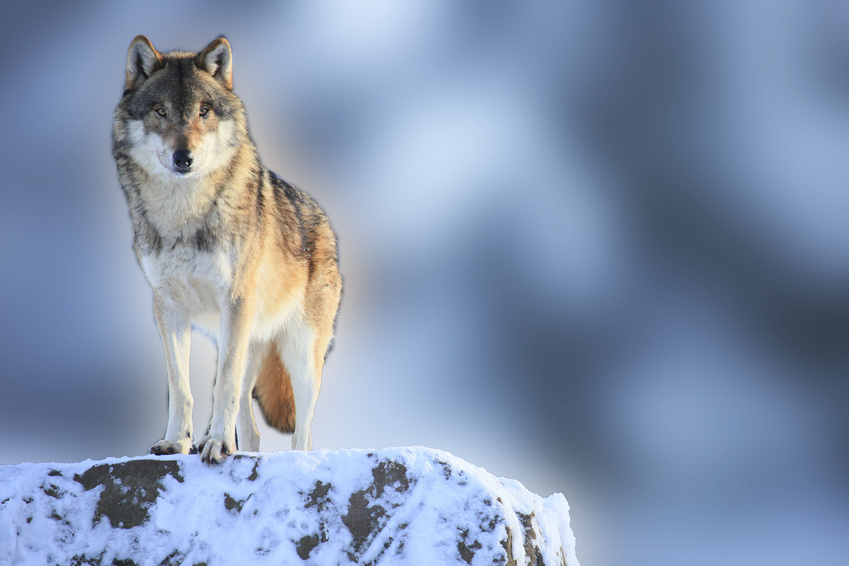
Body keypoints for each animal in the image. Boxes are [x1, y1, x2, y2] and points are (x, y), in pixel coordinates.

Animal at [112, 35, 342, 466]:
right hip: (243, 341)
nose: (183, 158)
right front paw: (176, 443)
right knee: (252, 428)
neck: (183, 214)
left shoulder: (234, 301)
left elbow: (224, 388)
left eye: (203, 111)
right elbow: (180, 387)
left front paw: (217, 444)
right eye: (161, 111)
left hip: (300, 355)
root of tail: (323, 219)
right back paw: (242, 453)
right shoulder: (167, 306)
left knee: (303, 431)